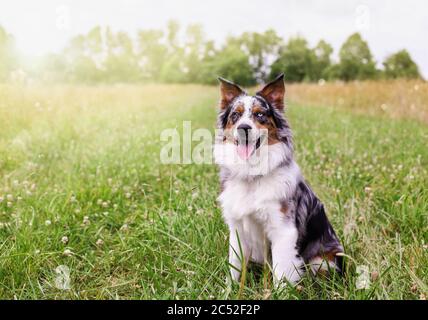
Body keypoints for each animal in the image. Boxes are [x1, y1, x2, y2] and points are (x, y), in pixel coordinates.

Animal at [214, 74, 344, 284]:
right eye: (235, 115)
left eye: (260, 115)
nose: (243, 128)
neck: (252, 174)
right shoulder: (237, 229)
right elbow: (234, 267)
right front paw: (230, 288)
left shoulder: (283, 230)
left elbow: (281, 274)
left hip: (323, 262)